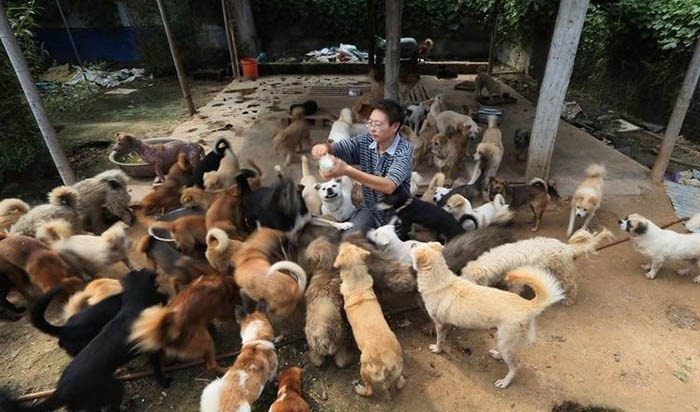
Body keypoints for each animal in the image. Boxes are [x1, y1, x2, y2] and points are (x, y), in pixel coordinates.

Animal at [0, 269, 169, 412]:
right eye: (157, 289)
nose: (167, 296)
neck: (131, 305)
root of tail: (61, 391)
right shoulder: (150, 348)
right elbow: (156, 367)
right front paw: (164, 381)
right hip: (114, 388)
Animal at [302, 237, 352, 367]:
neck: (324, 271)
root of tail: (322, 335)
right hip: (340, 337)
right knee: (341, 358)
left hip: (313, 344)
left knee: (317, 359)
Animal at [334, 243, 406, 399]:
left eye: (342, 249)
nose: (344, 242)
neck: (356, 277)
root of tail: (388, 363)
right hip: (398, 370)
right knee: (399, 384)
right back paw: (401, 380)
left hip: (364, 368)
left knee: (369, 391)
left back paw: (359, 389)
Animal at [411, 243, 564, 388]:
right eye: (423, 243)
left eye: (417, 246)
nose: (412, 244)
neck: (439, 280)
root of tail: (528, 304)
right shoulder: (446, 324)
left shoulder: (439, 324)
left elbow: (439, 340)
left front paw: (437, 350)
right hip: (504, 340)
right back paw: (497, 355)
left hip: (505, 341)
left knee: (515, 366)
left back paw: (505, 382)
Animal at [462, 229, 612, 306]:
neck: (496, 260)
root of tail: (567, 247)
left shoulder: (516, 283)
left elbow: (514, 292)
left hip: (563, 273)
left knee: (572, 286)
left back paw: (570, 300)